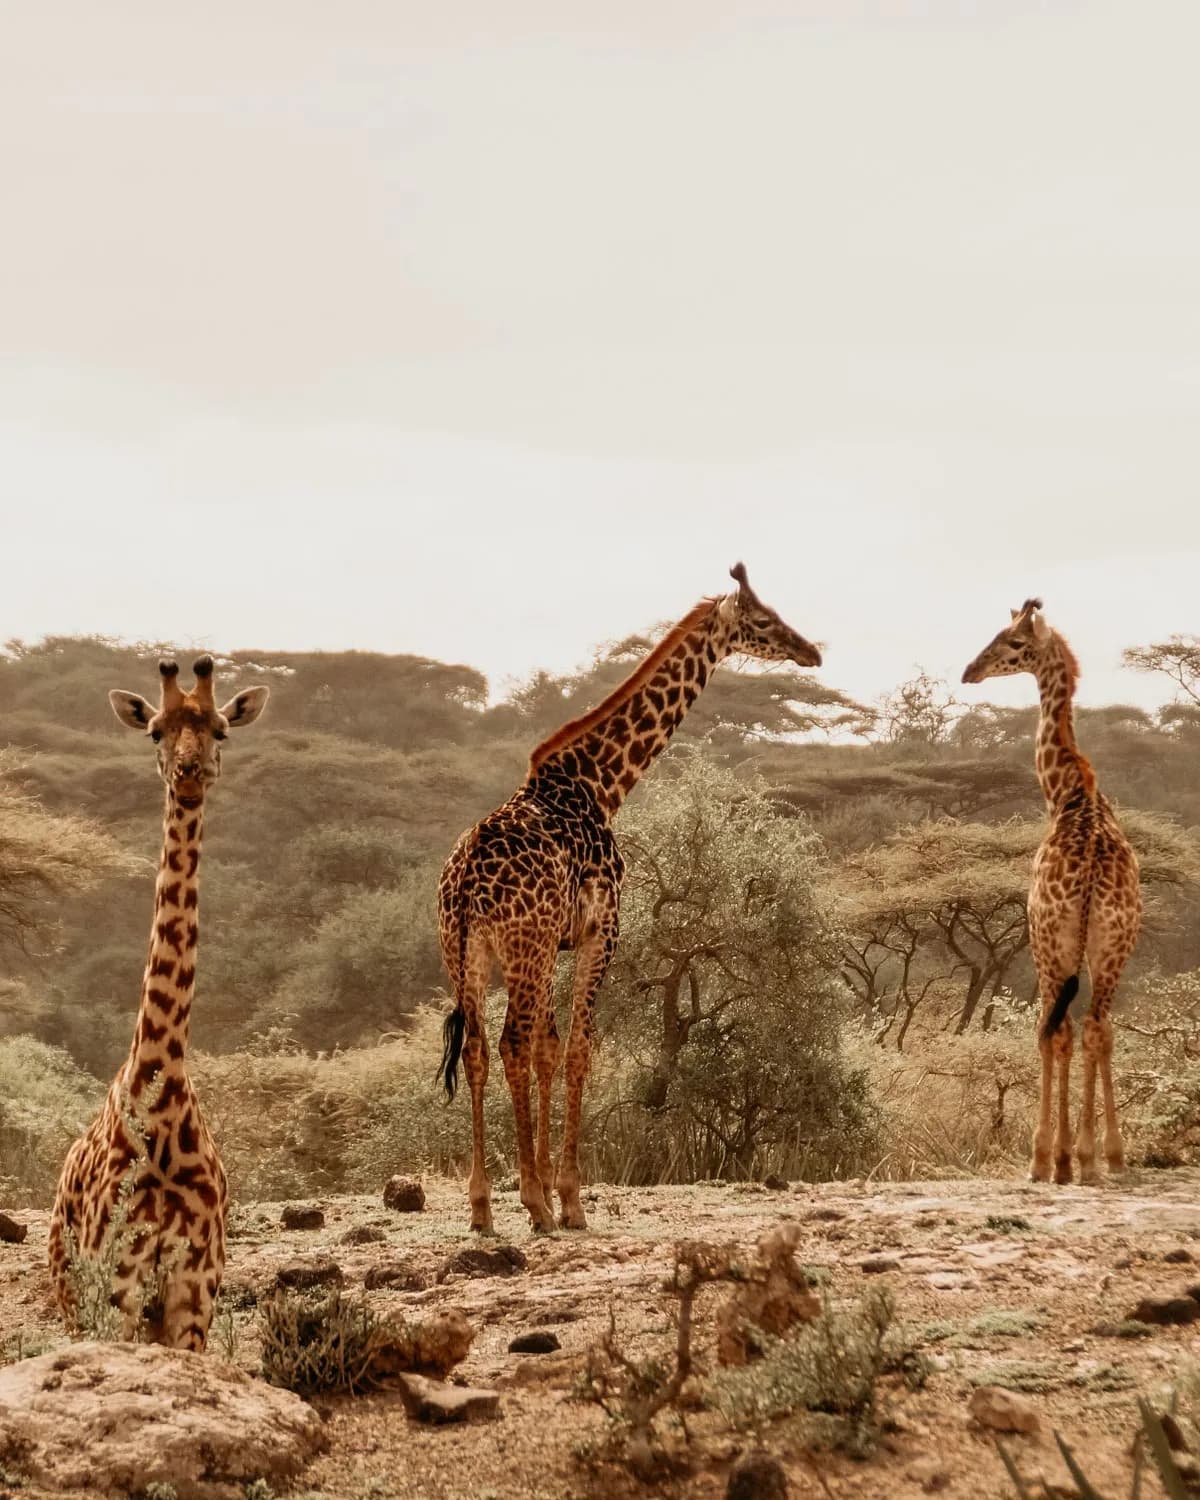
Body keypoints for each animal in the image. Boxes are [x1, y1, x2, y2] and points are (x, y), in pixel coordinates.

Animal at [48, 655, 269, 1348]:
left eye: (219, 729)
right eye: (155, 732)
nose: (189, 774)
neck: (163, 1090)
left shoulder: (195, 1283)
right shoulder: (118, 1280)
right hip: (74, 1293)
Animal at [436, 564, 822, 1233]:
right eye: (763, 621)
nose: (812, 652)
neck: (601, 785)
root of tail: (461, 885)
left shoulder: (559, 943)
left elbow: (549, 1050)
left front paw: (545, 1190)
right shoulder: (602, 931)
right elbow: (577, 1051)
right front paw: (567, 1199)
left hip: (467, 954)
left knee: (482, 1050)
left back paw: (482, 1207)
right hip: (522, 945)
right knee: (508, 1043)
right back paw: (532, 1203)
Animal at [961, 599, 1141, 1184]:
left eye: (1013, 643)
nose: (970, 671)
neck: (1067, 792)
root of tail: (1088, 880)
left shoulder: (1040, 933)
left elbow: (1049, 1033)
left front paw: (1049, 1157)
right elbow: (1089, 1033)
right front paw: (1092, 1154)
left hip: (1050, 941)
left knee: (1055, 1030)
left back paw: (1058, 1158)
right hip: (1114, 942)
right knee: (1097, 1028)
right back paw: (1103, 1155)